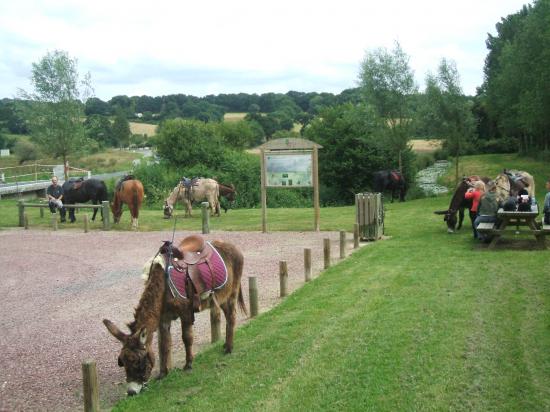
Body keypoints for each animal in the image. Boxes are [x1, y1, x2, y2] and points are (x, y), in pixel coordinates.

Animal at [104, 237, 247, 398]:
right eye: (122, 362)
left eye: (138, 362)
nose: (131, 392)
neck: (162, 286)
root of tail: (229, 244)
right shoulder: (163, 319)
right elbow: (164, 344)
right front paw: (163, 373)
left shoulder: (185, 313)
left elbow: (187, 338)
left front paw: (188, 365)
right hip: (221, 297)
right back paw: (226, 345)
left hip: (231, 293)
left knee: (231, 317)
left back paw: (229, 348)